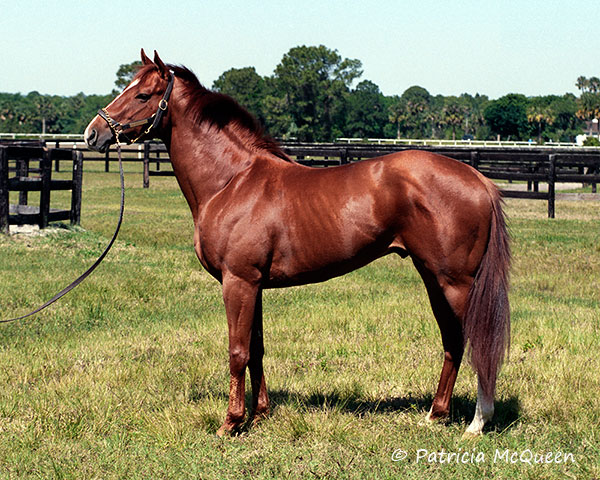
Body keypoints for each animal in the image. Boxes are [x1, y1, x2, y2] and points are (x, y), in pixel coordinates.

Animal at [84, 50, 508, 436]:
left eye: (143, 95)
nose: (93, 133)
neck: (232, 182)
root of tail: (478, 179)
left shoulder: (238, 282)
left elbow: (237, 351)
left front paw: (231, 423)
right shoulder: (252, 284)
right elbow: (256, 349)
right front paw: (260, 414)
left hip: (456, 283)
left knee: (477, 343)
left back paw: (477, 422)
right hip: (433, 279)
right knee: (453, 341)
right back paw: (436, 414)